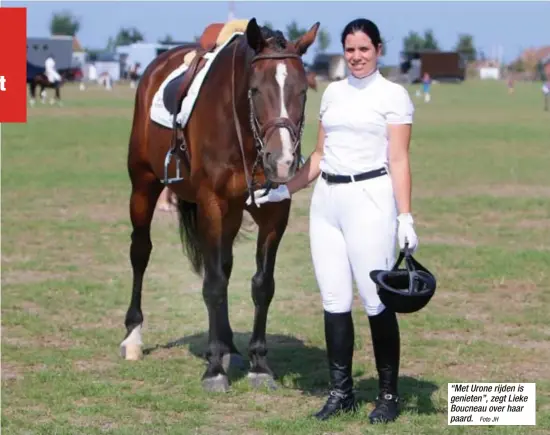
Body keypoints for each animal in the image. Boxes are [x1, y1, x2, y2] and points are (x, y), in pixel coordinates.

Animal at [121, 17, 320, 396]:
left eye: (303, 91)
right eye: (255, 90)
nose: (283, 161)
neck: (240, 125)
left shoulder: (274, 212)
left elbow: (261, 285)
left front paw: (258, 363)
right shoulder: (211, 205)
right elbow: (212, 284)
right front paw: (214, 369)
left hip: (231, 211)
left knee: (225, 266)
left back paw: (228, 347)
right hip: (143, 185)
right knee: (140, 253)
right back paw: (133, 338)